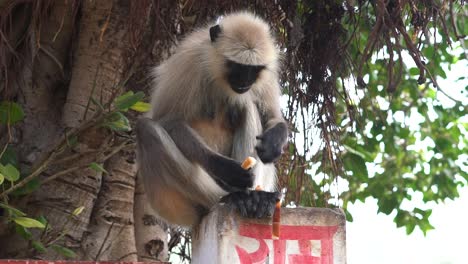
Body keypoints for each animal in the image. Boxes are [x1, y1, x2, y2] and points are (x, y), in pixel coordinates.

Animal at [135, 11, 288, 227]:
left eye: (253, 70)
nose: (244, 82)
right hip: (171, 204)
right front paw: (226, 169)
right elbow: (168, 120)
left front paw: (273, 141)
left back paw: (254, 198)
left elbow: (273, 117)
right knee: (146, 129)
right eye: (236, 67)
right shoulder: (189, 62)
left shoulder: (267, 75)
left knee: (246, 105)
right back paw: (231, 197)